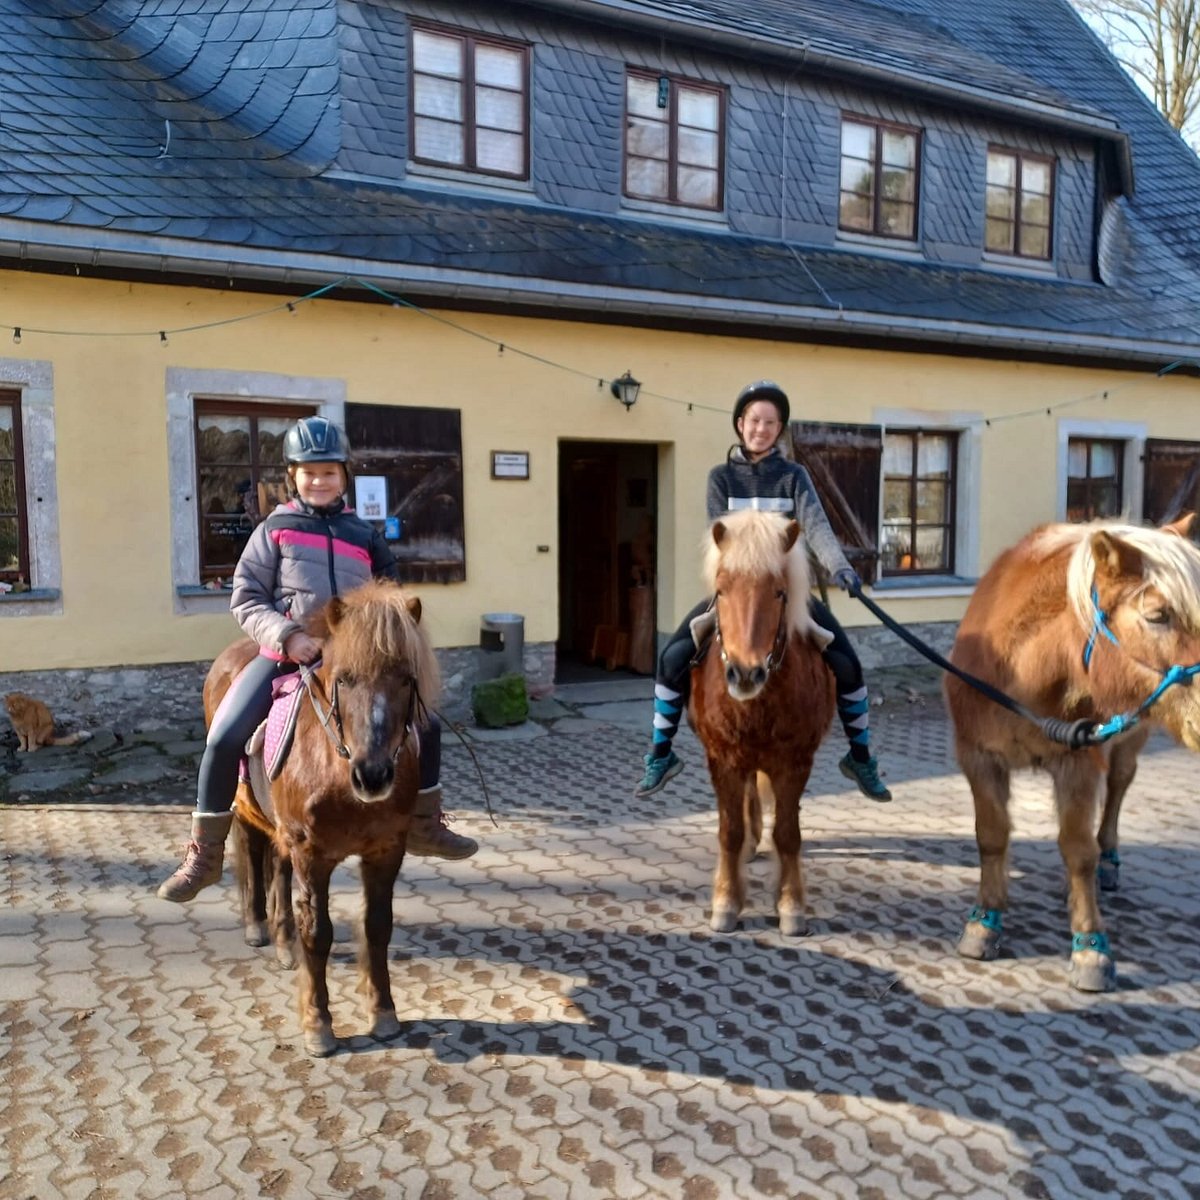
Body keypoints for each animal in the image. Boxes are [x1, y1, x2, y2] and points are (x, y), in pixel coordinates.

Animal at [204, 578, 440, 1056]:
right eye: (344, 679)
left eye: (406, 678)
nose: (372, 775)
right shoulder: (312, 853)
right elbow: (318, 932)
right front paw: (318, 1024)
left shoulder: (386, 849)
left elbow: (377, 926)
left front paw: (383, 1012)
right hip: (245, 811)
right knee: (252, 857)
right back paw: (256, 926)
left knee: (276, 867)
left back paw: (282, 943)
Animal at [687, 509, 836, 936]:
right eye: (721, 590)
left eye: (780, 593)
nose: (745, 673)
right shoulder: (722, 760)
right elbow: (730, 831)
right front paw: (726, 902)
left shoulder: (795, 762)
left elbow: (788, 833)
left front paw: (791, 905)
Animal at [945, 516, 1200, 991]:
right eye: (1157, 615)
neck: (1024, 676)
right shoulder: (978, 757)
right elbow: (991, 836)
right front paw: (984, 922)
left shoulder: (1078, 764)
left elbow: (1079, 851)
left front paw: (1090, 947)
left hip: (1129, 740)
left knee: (1117, 790)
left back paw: (1110, 861)